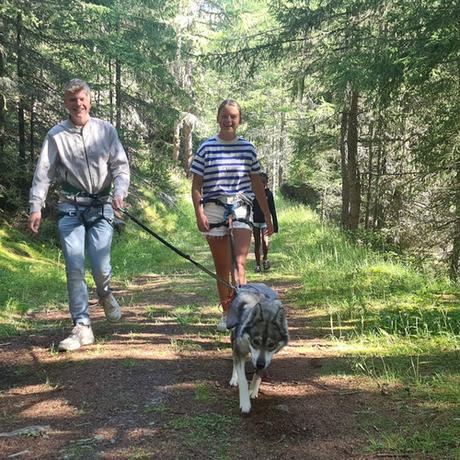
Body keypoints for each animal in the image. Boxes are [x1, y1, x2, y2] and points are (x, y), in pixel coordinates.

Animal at [226, 284, 288, 414]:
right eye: (255, 341)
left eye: (271, 345)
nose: (260, 364)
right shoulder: (240, 350)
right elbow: (243, 380)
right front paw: (245, 404)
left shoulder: (267, 359)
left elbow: (258, 375)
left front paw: (253, 391)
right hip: (233, 340)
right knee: (234, 360)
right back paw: (234, 379)